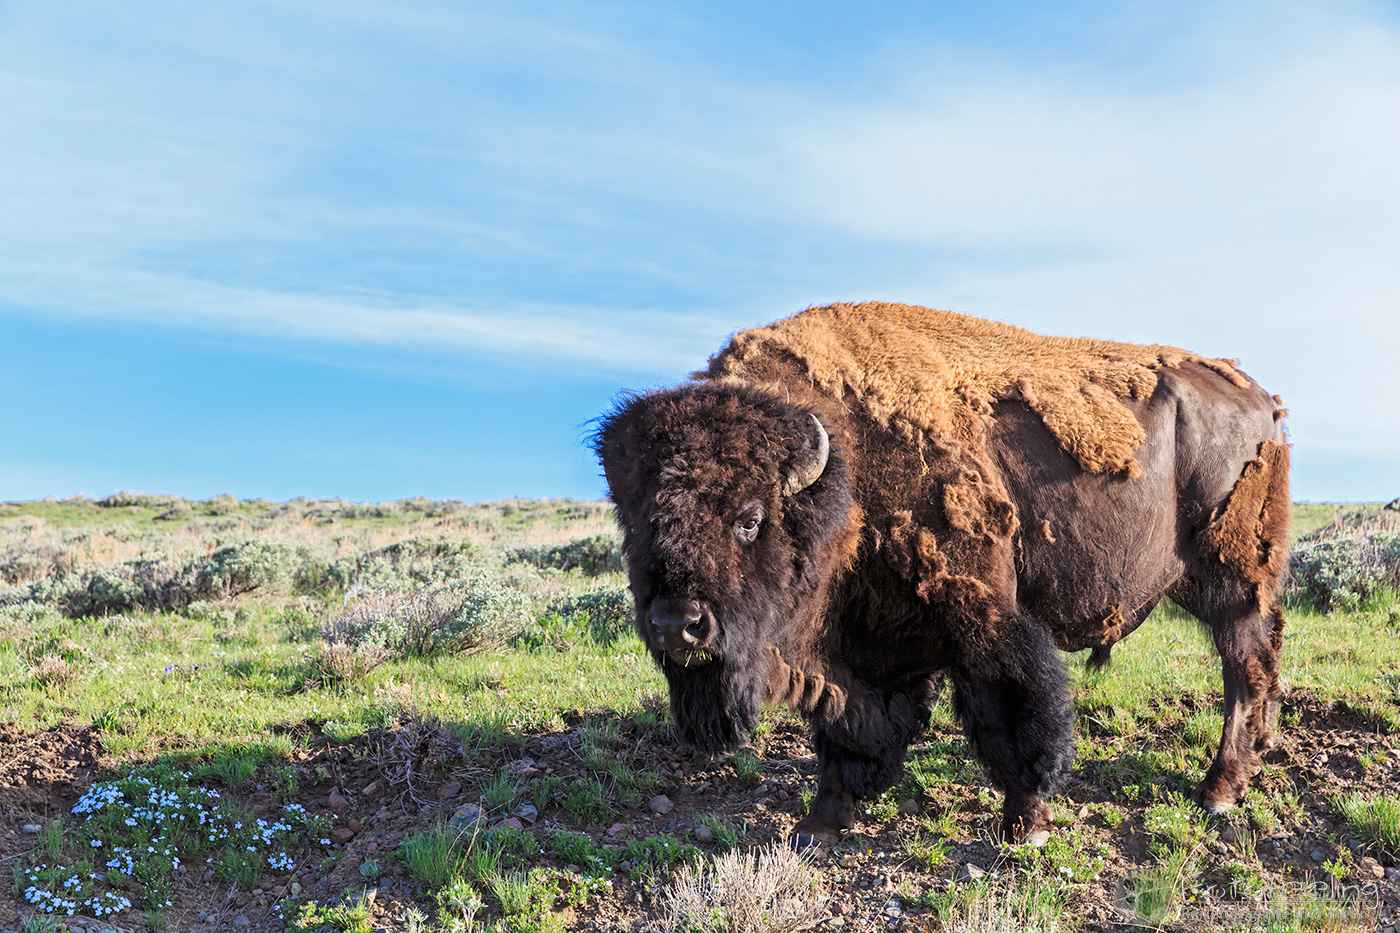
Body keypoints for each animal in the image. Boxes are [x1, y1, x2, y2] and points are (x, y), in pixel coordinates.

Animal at [595, 302, 1289, 845]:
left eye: (749, 518)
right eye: (638, 524)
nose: (677, 624)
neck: (846, 472)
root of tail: (1260, 398)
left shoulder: (982, 616)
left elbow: (1012, 719)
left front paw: (1026, 827)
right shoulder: (855, 649)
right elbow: (843, 733)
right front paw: (818, 825)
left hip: (1232, 574)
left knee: (1245, 664)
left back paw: (1219, 789)